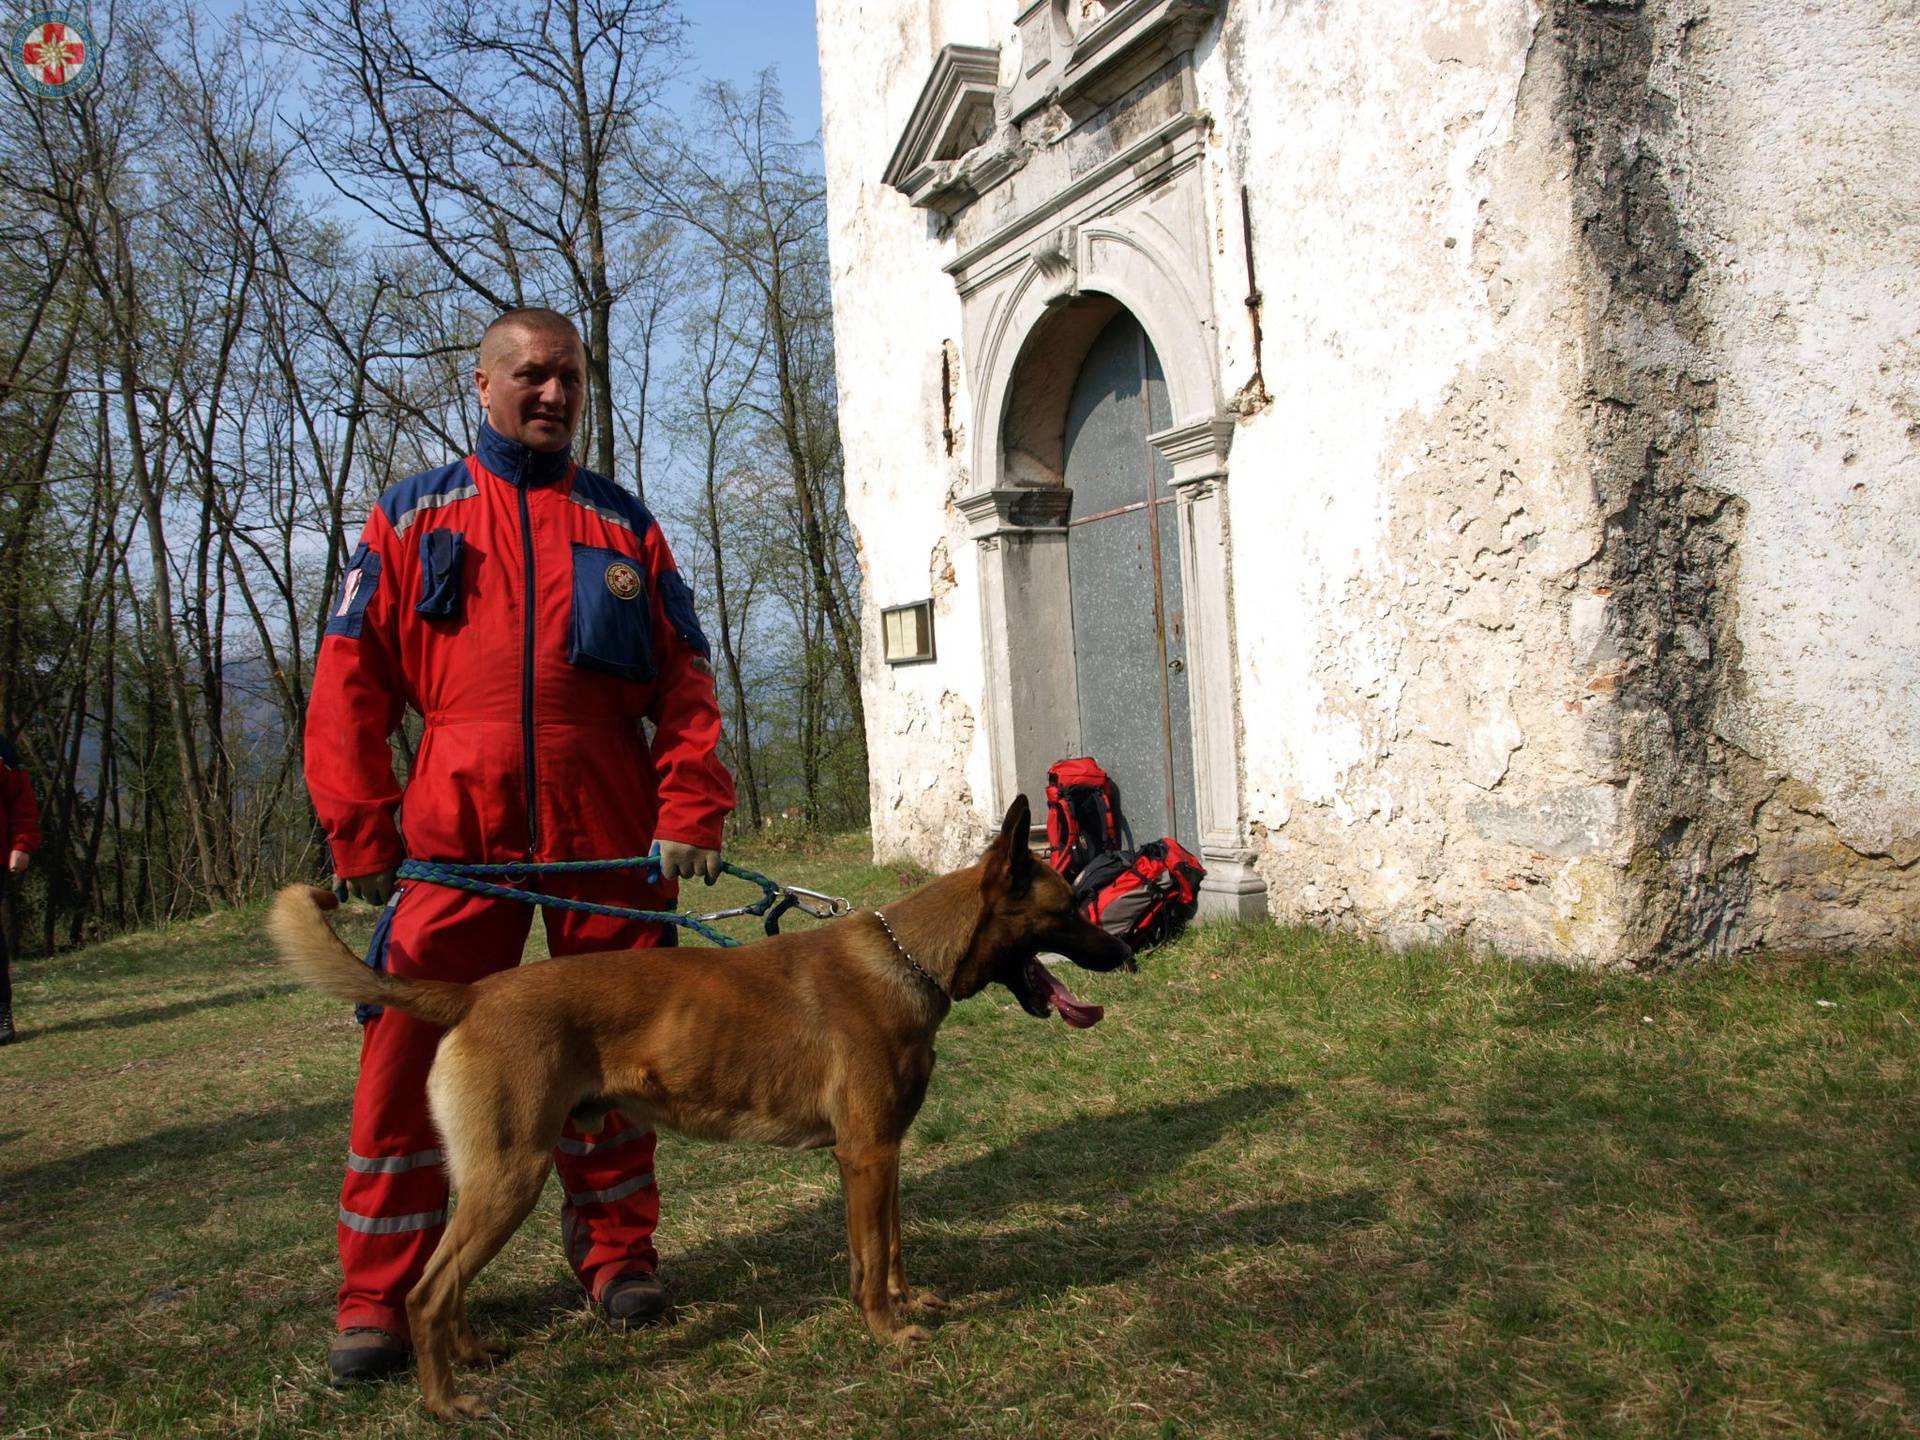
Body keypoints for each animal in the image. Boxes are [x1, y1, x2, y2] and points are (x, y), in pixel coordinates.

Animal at [274, 802, 1136, 1420]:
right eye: (1066, 910)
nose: (1128, 953)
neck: (906, 958)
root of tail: (474, 994)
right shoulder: (865, 1154)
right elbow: (870, 1258)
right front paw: (886, 1332)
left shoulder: (880, 1153)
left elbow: (889, 1247)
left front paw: (905, 1303)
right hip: (511, 1179)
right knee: (425, 1291)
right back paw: (446, 1401)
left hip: (492, 1178)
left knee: (447, 1284)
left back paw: (471, 1357)